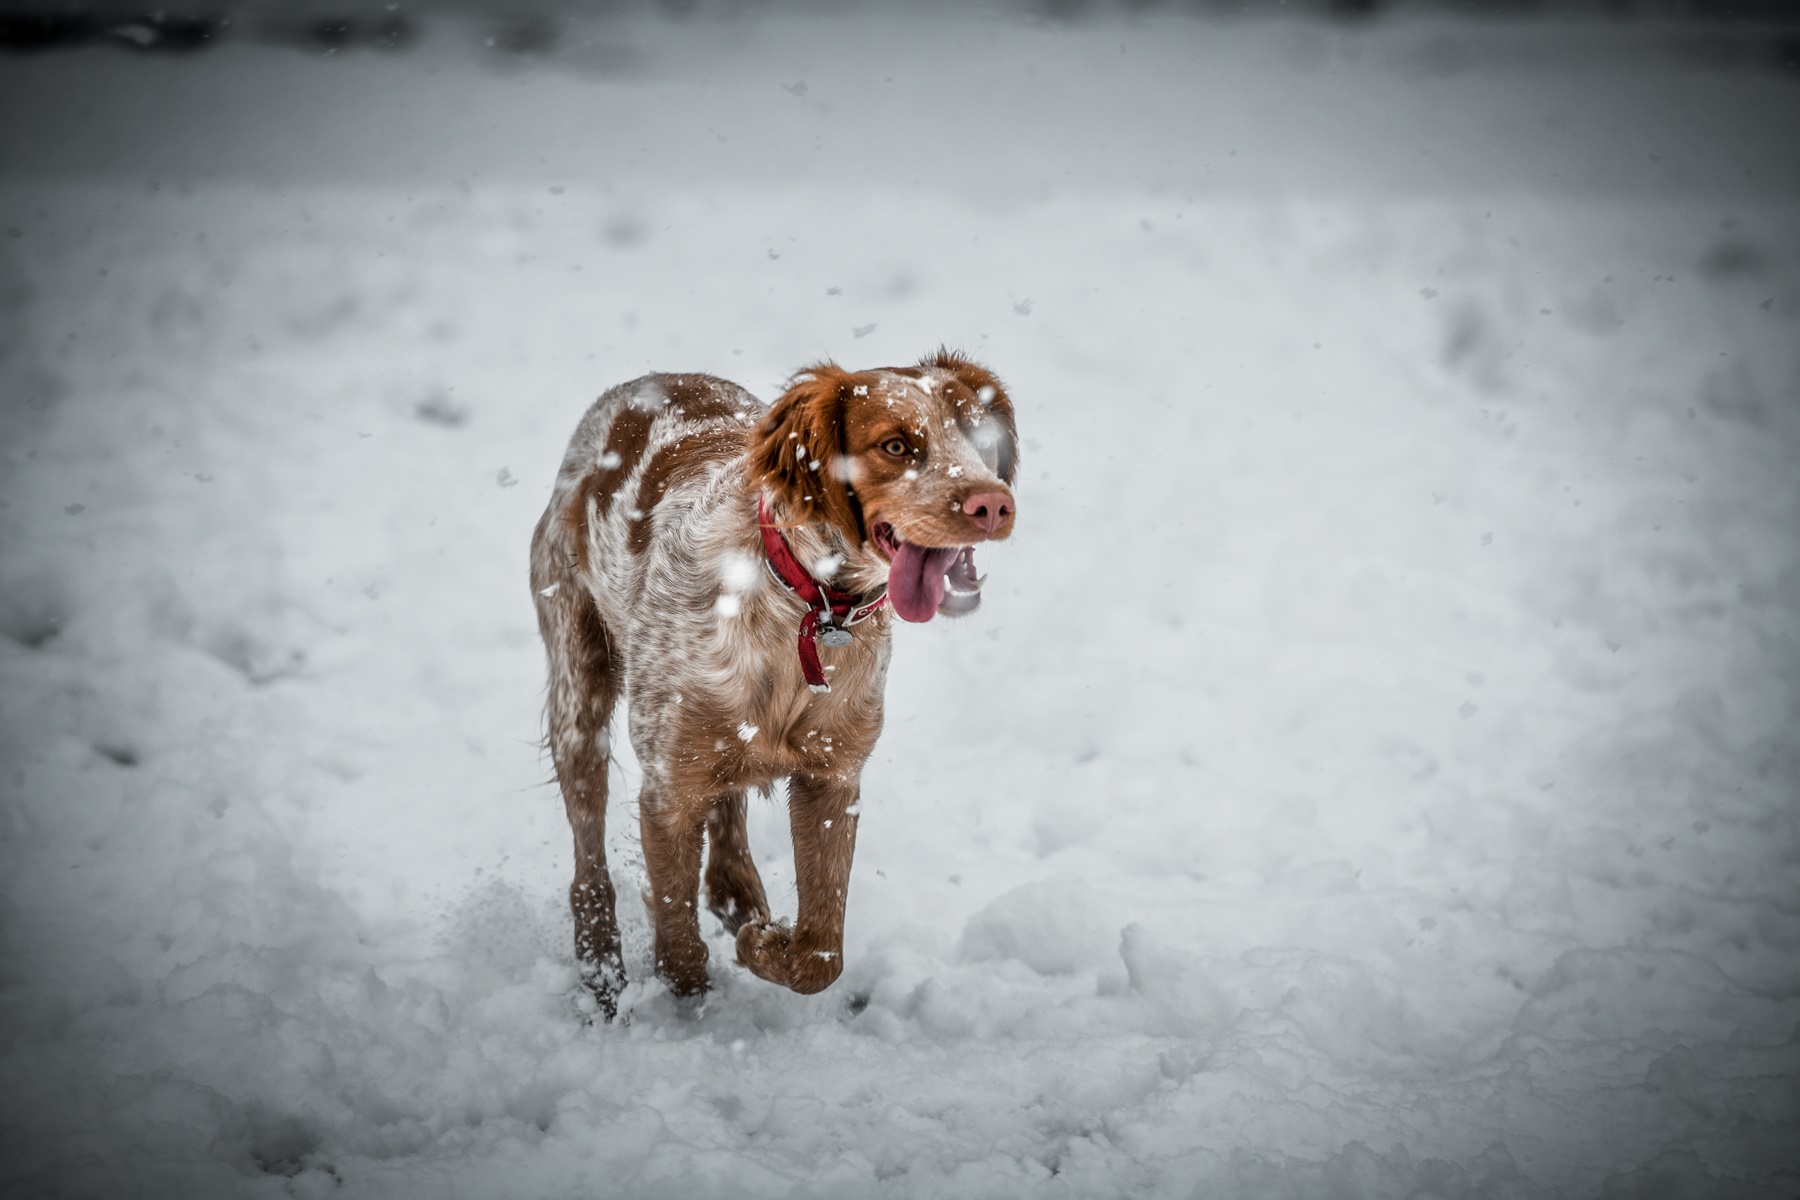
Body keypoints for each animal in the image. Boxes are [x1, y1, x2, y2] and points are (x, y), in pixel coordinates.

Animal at [525, 347, 1022, 1014]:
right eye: (896, 446)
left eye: (981, 437)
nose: (991, 505)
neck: (808, 607)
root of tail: (640, 384)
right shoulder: (668, 791)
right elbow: (678, 944)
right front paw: (692, 1003)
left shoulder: (831, 779)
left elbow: (820, 952)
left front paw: (764, 944)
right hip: (578, 693)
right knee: (588, 865)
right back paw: (601, 971)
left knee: (726, 825)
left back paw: (740, 902)